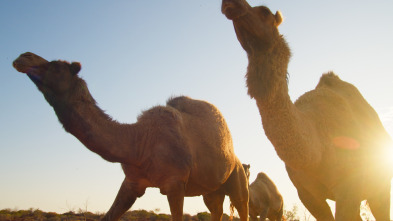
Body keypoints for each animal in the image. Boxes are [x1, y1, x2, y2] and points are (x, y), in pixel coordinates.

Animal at [13, 52, 248, 221]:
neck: (139, 141)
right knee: (216, 209)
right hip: (212, 191)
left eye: (56, 66)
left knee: (242, 204)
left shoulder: (175, 183)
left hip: (237, 177)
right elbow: (109, 216)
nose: (24, 56)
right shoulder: (132, 182)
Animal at [220, 0, 392, 220]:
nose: (232, 3)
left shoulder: (349, 184)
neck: (316, 150)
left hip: (380, 183)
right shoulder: (306, 194)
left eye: (265, 11)